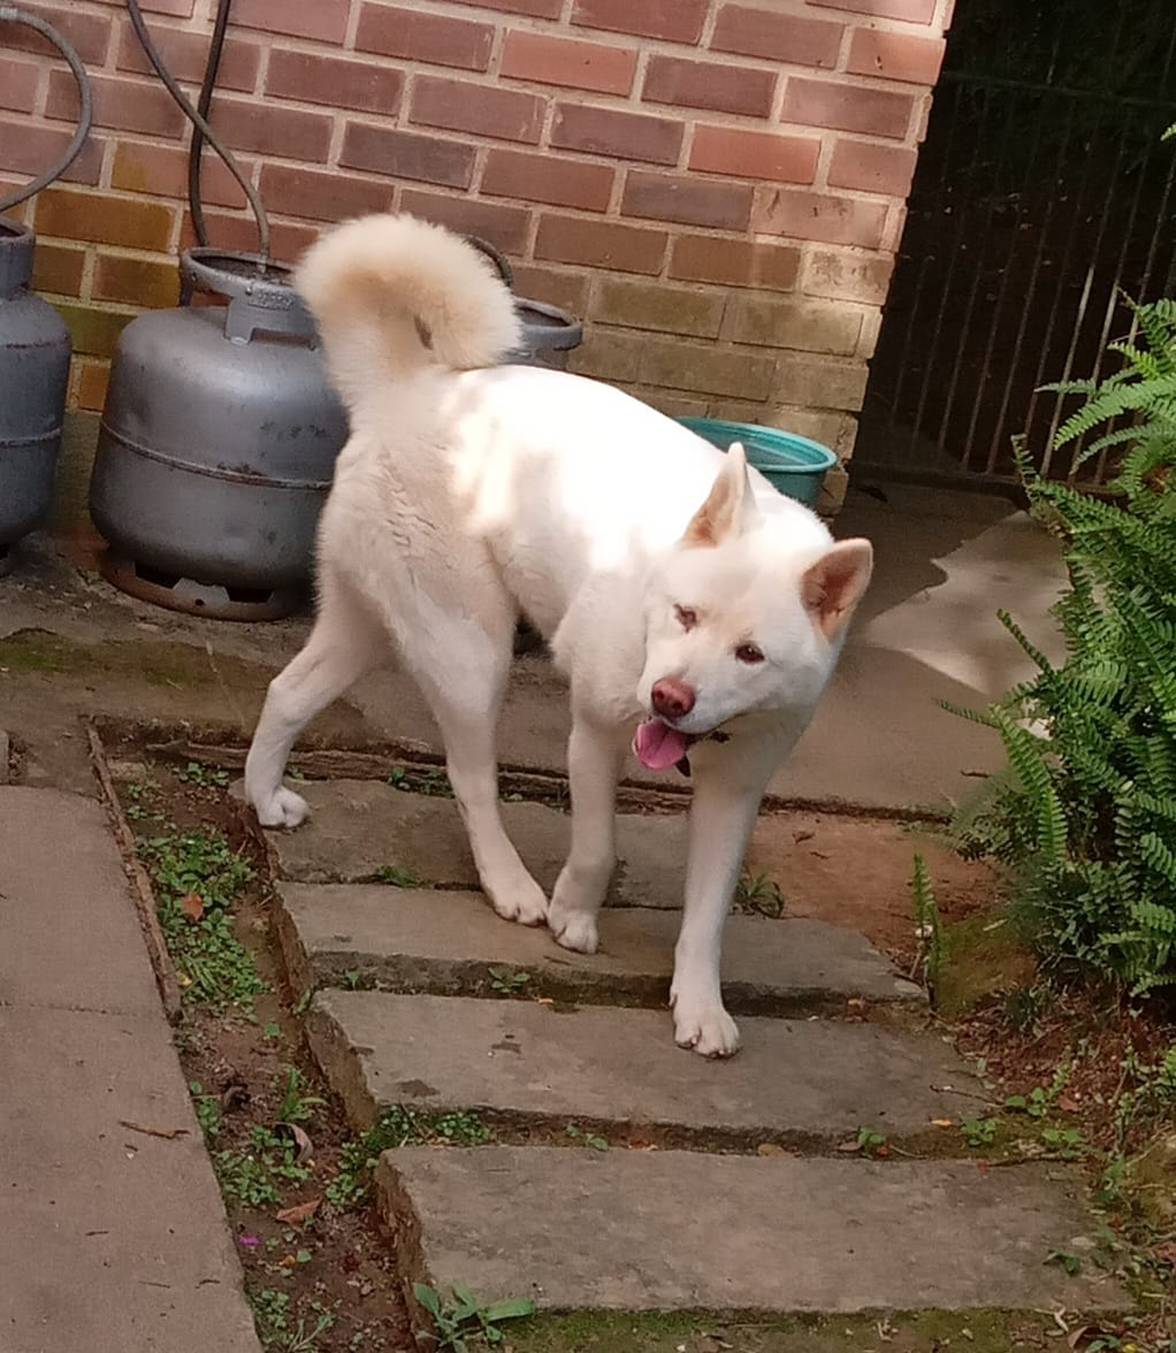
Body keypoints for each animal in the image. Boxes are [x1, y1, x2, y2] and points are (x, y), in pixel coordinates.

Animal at [244, 214, 873, 1057]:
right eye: (685, 615)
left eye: (751, 653)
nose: (669, 699)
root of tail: (411, 385)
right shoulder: (594, 729)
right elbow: (599, 844)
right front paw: (575, 915)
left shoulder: (735, 791)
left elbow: (708, 912)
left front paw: (700, 1006)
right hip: (470, 650)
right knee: (470, 776)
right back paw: (510, 884)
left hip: (368, 622)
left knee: (286, 692)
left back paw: (264, 797)